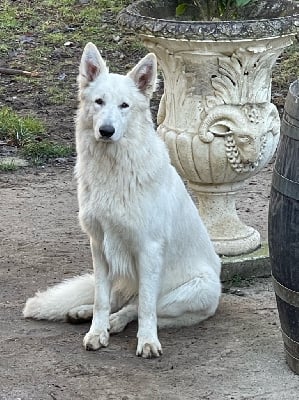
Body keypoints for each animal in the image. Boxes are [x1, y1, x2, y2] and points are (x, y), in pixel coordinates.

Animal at [23, 42, 221, 358]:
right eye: (99, 102)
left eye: (124, 106)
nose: (106, 131)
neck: (113, 169)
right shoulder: (99, 245)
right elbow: (102, 299)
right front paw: (96, 332)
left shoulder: (148, 249)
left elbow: (146, 308)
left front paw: (147, 341)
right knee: (116, 299)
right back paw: (85, 313)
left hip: (196, 290)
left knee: (138, 307)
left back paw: (117, 323)